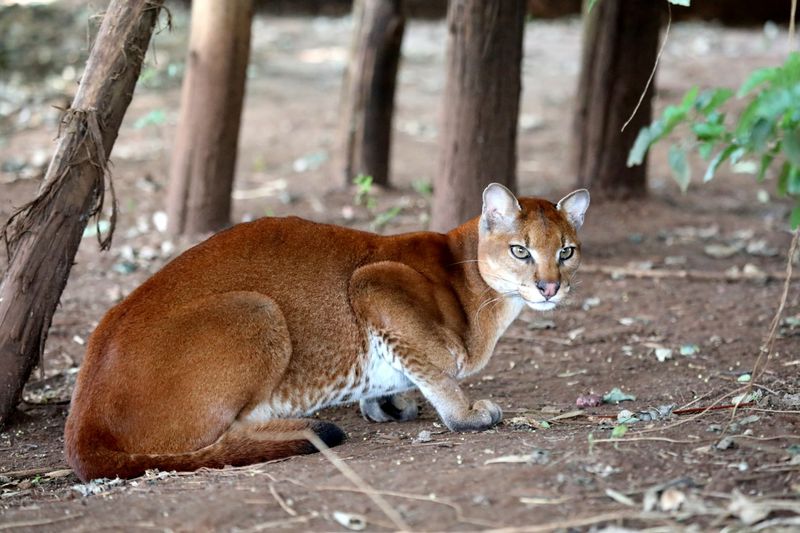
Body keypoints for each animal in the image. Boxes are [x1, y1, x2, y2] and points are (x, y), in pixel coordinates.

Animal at [64, 183, 588, 478]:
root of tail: (83, 419)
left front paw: (389, 401)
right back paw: (301, 426)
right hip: (256, 309)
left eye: (566, 251)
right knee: (216, 439)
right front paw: (464, 412)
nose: (549, 287)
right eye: (521, 250)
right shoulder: (374, 281)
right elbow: (436, 364)